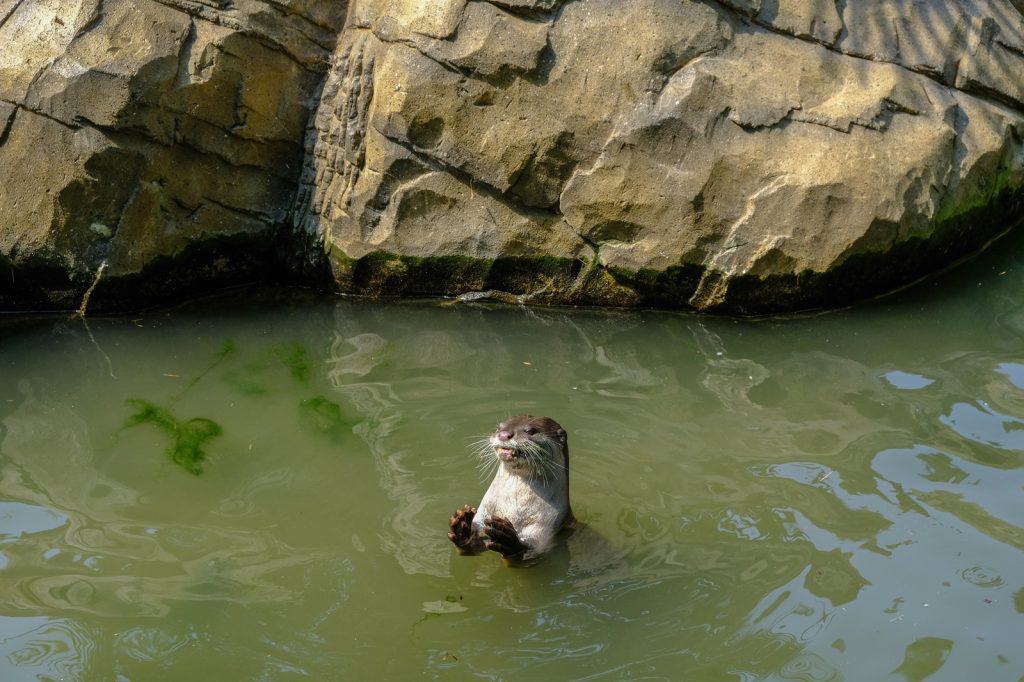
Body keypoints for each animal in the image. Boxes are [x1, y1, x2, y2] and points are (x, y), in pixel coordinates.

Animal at [448, 411, 577, 561]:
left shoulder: (547, 526)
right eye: (499, 427)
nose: (503, 434)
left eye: (531, 431)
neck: (511, 508)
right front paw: (462, 525)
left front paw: (507, 539)